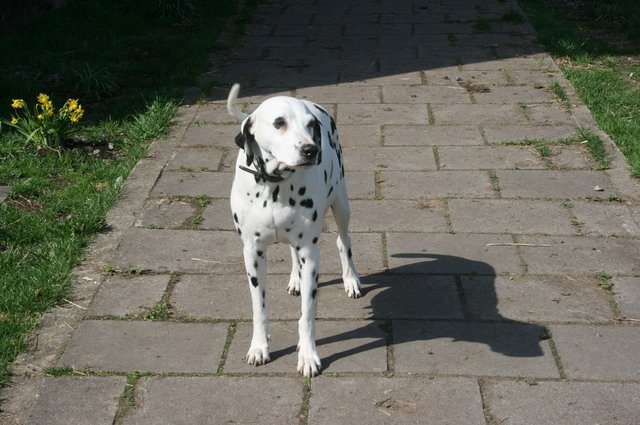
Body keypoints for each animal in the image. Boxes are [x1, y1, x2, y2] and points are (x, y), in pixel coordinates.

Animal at [226, 84, 362, 377]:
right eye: (279, 123)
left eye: (311, 125)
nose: (311, 150)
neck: (274, 186)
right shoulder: (253, 254)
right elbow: (259, 309)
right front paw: (259, 347)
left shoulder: (310, 253)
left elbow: (307, 314)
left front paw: (308, 355)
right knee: (292, 251)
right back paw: (295, 280)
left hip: (341, 205)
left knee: (344, 242)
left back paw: (351, 280)